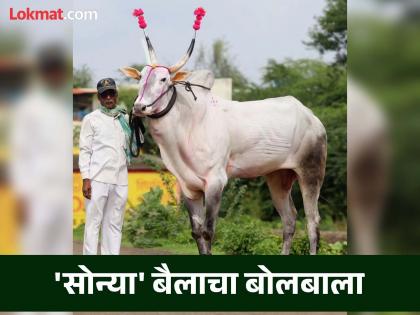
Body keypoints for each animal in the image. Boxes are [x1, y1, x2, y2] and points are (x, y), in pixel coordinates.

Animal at [122, 66, 328, 254]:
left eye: (164, 79)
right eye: (139, 78)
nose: (139, 107)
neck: (188, 123)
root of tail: (312, 117)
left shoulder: (216, 181)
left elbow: (208, 232)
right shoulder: (188, 186)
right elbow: (197, 233)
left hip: (311, 172)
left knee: (312, 222)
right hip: (278, 177)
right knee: (289, 219)